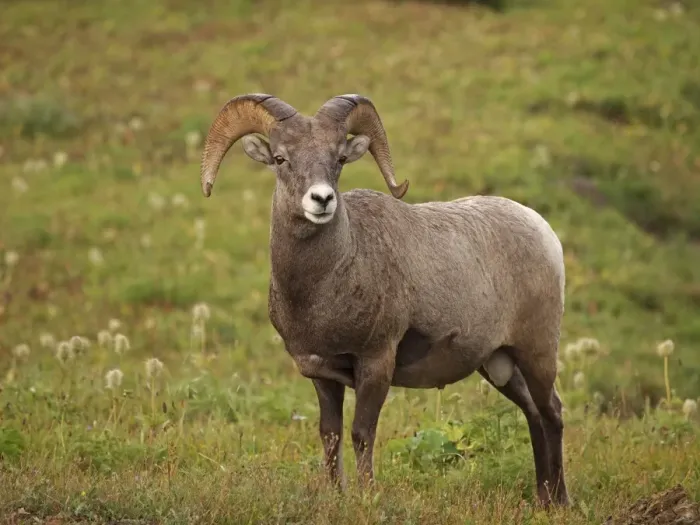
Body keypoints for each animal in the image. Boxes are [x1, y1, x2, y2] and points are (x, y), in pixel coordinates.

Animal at [199, 93, 570, 507]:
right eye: (280, 158)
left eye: (339, 158)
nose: (322, 199)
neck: (323, 289)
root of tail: (543, 230)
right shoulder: (322, 376)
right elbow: (331, 436)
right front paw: (337, 495)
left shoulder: (376, 364)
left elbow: (362, 434)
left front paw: (367, 496)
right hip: (499, 364)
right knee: (534, 415)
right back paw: (543, 498)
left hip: (537, 354)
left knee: (552, 413)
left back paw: (559, 503)